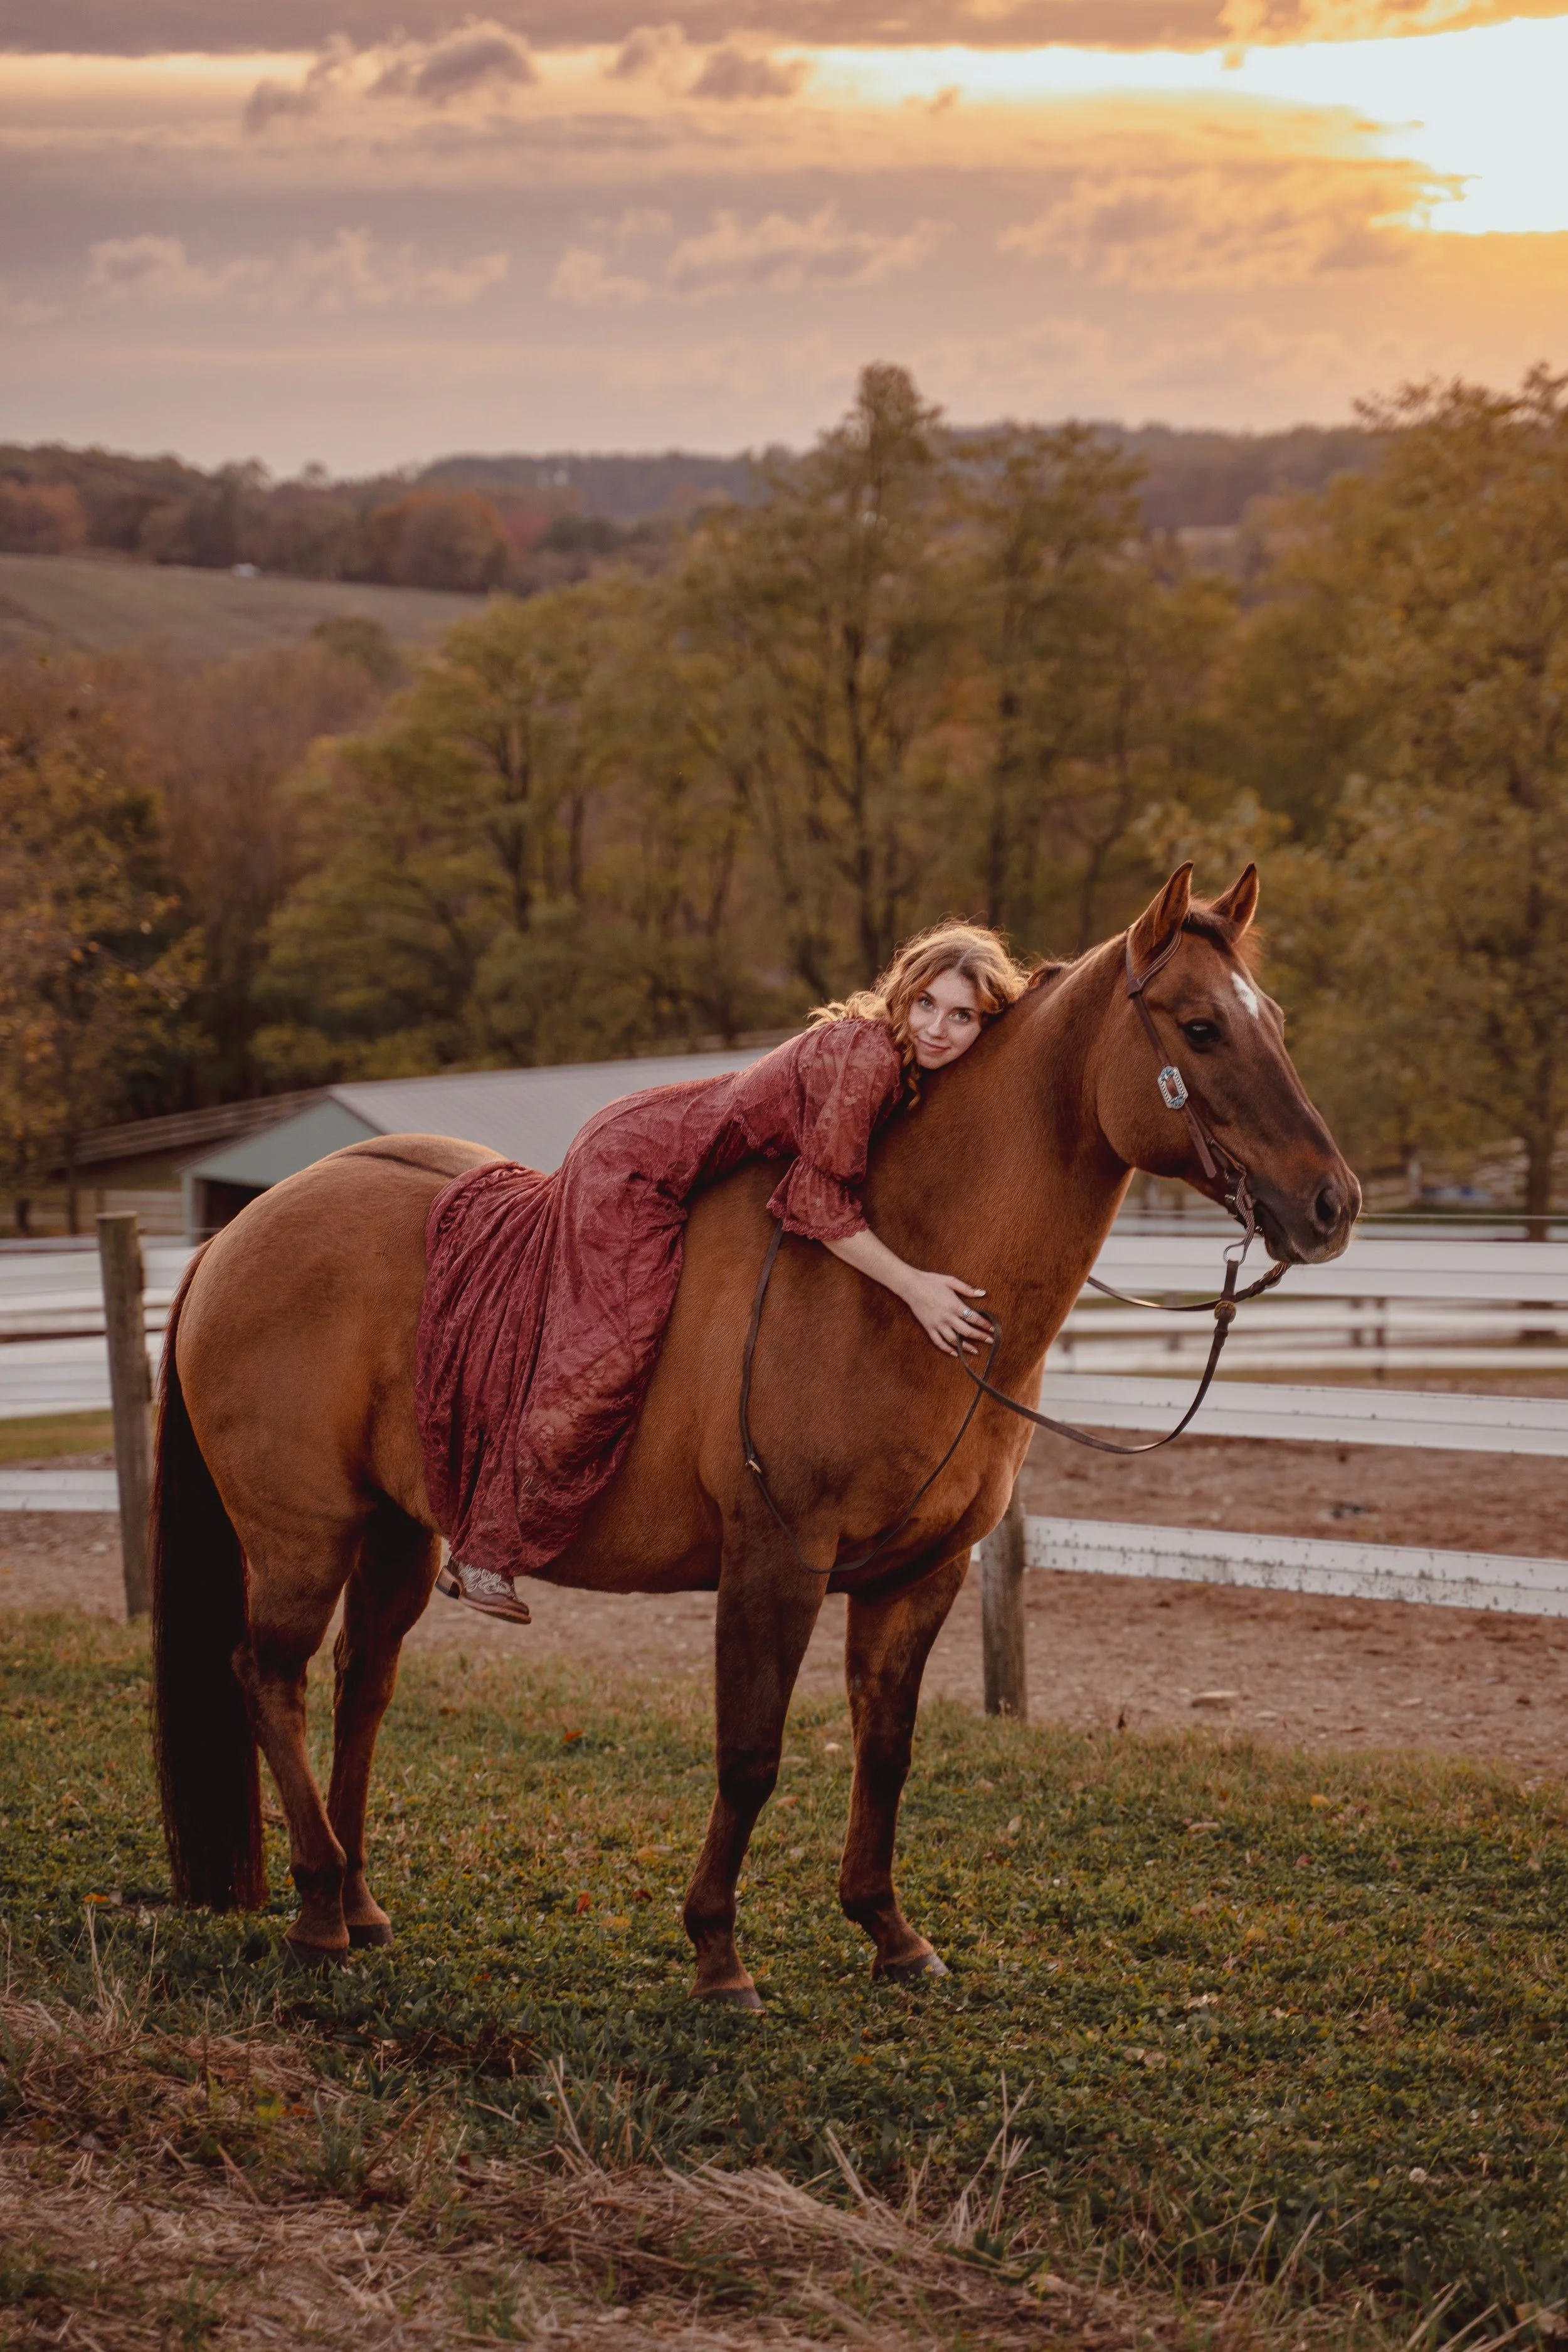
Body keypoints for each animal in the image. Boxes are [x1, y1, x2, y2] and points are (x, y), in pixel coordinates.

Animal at [150, 864, 1359, 2004]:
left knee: (363, 1684)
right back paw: (317, 1911)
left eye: (1274, 1018)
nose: (1331, 1204)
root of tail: (236, 1232)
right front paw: (719, 1955)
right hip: (302, 1537)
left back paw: (359, 1903)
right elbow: (751, 1754)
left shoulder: (919, 1576)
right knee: (268, 1676)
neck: (898, 1276)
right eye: (1200, 1028)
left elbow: (886, 1750)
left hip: (400, 1531)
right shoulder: (775, 1557)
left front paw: (889, 1932)